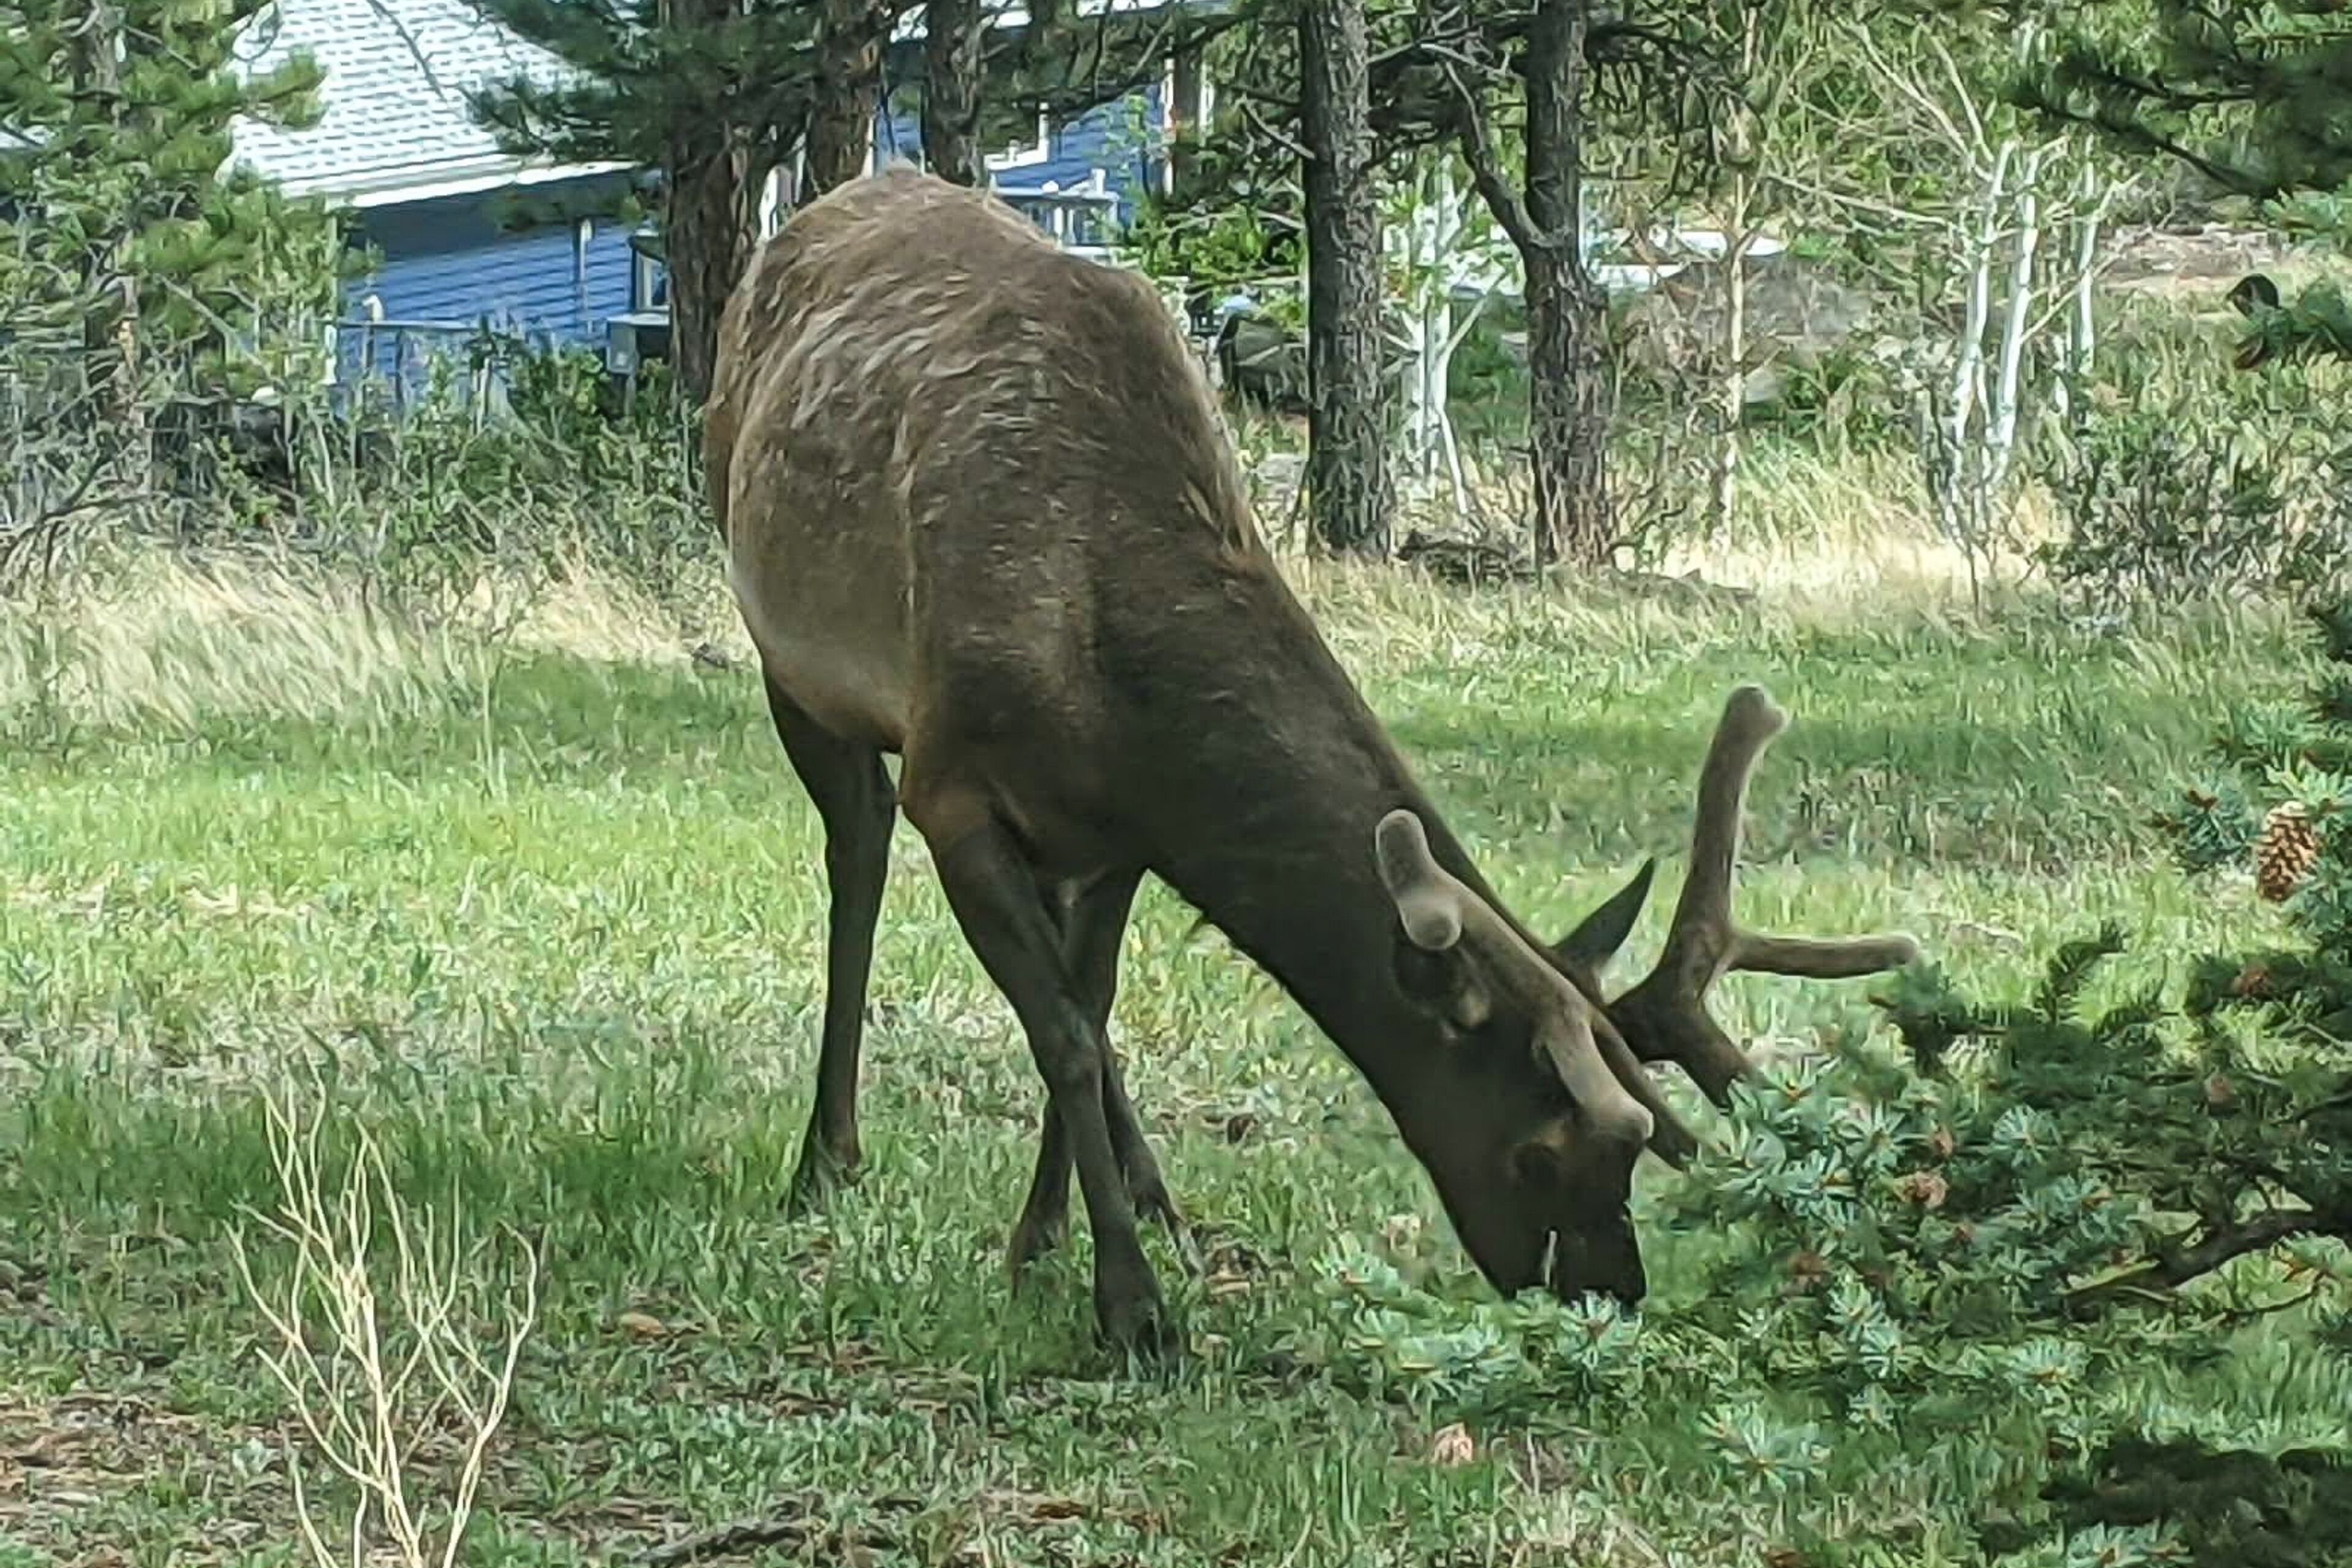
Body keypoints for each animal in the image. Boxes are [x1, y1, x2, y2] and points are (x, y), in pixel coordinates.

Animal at [702, 164, 1919, 1353]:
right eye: (1537, 1151)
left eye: (1630, 1151)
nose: (1610, 1295)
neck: (1108, 673)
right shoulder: (955, 784)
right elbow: (1065, 1036)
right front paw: (1128, 1307)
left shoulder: (1118, 835)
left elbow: (1089, 1008)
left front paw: (1047, 1240)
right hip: (791, 656)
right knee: (857, 856)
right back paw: (828, 1156)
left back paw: (1153, 1193)